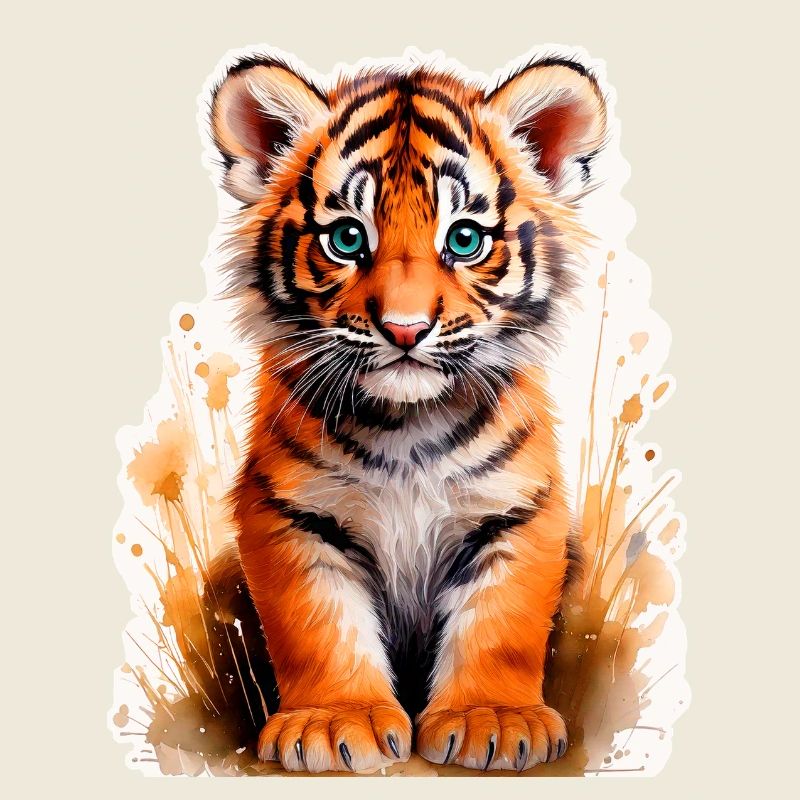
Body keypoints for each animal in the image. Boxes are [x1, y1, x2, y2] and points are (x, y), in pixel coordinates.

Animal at [208, 49, 606, 773]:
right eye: (345, 239)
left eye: (466, 239)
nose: (403, 328)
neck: (407, 427)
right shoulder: (289, 514)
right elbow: (318, 626)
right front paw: (334, 723)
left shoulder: (518, 511)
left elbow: (502, 624)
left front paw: (493, 719)